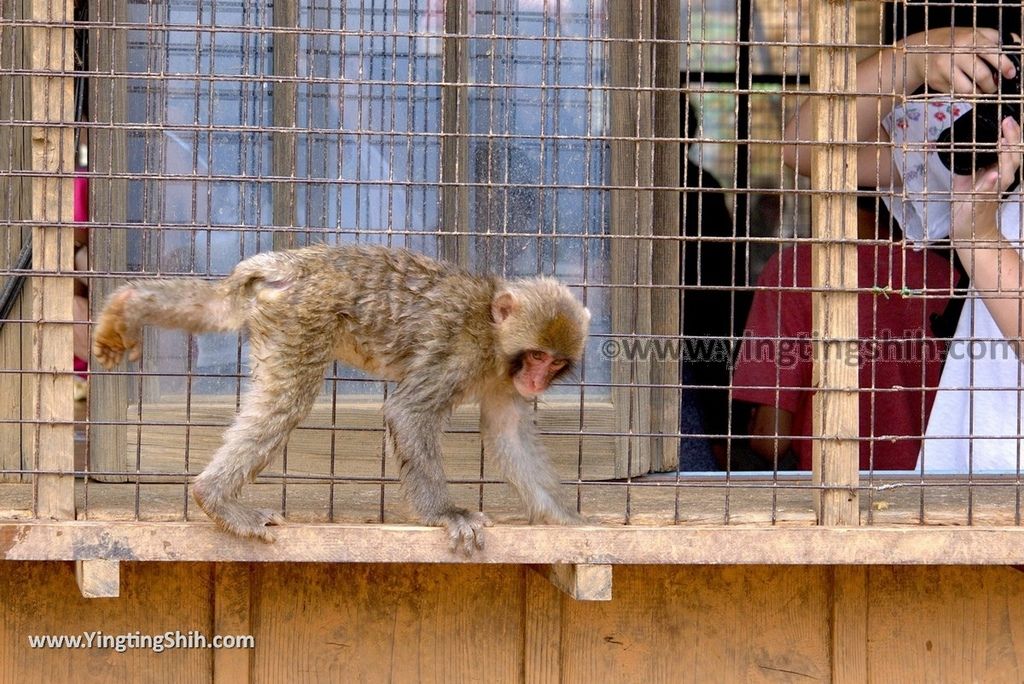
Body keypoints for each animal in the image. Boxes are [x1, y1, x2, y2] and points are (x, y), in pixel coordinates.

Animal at [96, 242, 593, 552]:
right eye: (535, 355)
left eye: (553, 362)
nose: (536, 380)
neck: (495, 341)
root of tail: (293, 265)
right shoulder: (459, 352)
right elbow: (409, 412)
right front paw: (446, 514)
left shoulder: (501, 382)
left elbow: (509, 434)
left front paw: (566, 523)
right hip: (302, 315)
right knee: (287, 400)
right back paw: (214, 497)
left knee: (220, 314)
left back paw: (129, 305)